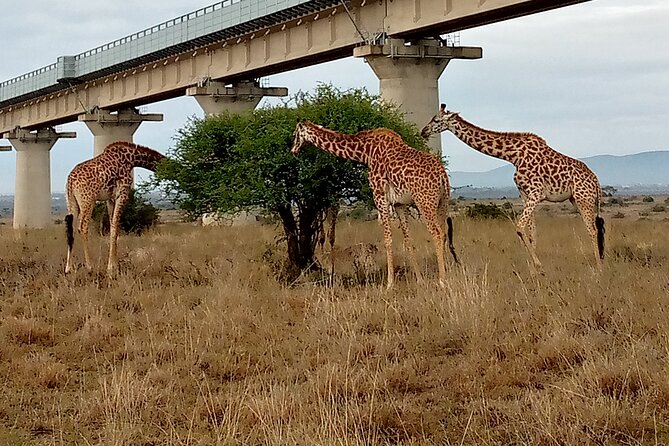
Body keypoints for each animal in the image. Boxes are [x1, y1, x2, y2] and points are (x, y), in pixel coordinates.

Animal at [64, 141, 166, 274]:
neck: (131, 158)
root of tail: (70, 180)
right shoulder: (122, 194)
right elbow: (115, 227)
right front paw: (112, 268)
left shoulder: (110, 199)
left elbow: (113, 227)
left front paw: (114, 265)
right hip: (88, 201)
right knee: (83, 227)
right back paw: (90, 267)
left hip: (72, 202)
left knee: (71, 229)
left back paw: (68, 268)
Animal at [291, 121, 458, 289]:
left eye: (295, 135)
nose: (293, 150)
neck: (366, 152)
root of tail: (442, 176)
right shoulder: (399, 204)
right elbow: (408, 240)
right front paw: (419, 280)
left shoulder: (379, 195)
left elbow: (387, 239)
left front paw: (389, 284)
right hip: (442, 202)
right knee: (443, 233)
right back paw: (447, 275)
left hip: (425, 202)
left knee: (436, 233)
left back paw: (442, 280)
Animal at [421, 104, 604, 273]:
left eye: (436, 120)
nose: (423, 131)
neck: (512, 155)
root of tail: (596, 182)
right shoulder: (524, 194)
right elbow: (532, 231)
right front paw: (535, 270)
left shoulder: (536, 192)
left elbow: (520, 227)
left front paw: (538, 265)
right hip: (576, 200)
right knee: (593, 228)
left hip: (584, 199)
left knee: (593, 229)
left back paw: (598, 267)